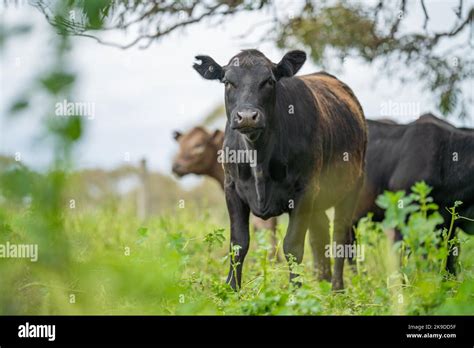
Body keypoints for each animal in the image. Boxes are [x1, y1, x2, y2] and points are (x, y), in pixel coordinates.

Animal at [193, 47, 366, 290]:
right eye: (227, 82)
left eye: (269, 81)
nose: (247, 117)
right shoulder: (232, 188)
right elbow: (238, 244)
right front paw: (231, 289)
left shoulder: (305, 191)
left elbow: (292, 246)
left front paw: (297, 293)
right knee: (321, 233)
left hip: (352, 188)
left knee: (340, 237)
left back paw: (336, 289)